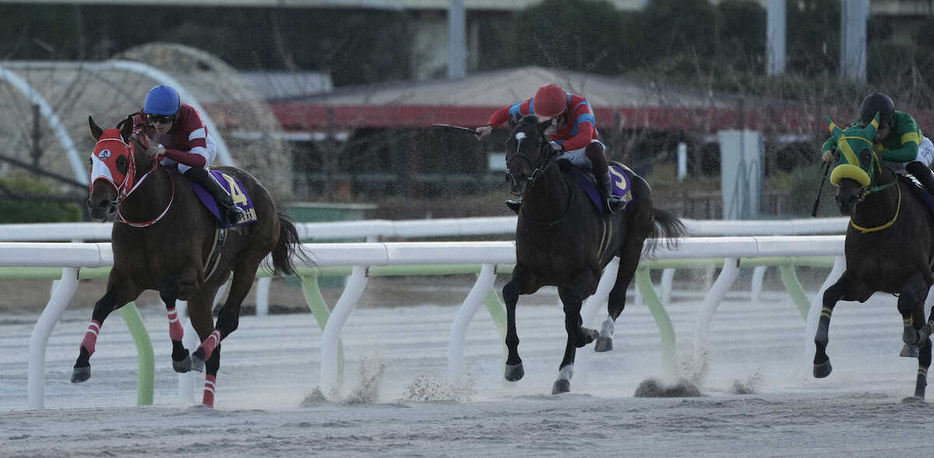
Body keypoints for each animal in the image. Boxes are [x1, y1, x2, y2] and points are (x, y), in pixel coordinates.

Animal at [75, 114, 308, 408]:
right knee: (214, 349)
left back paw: (197, 354)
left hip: (248, 262)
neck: (149, 214)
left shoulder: (189, 277)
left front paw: (180, 354)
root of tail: (265, 193)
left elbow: (166, 293)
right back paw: (205, 398)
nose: (99, 204)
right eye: (92, 160)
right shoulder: (128, 282)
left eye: (121, 161)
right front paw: (81, 362)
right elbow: (101, 306)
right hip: (206, 291)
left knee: (228, 320)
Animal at [504, 114, 688, 394]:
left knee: (616, 297)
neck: (549, 216)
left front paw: (588, 334)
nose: (517, 178)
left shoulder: (588, 275)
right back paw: (563, 374)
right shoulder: (530, 273)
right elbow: (510, 293)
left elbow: (574, 316)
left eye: (536, 142)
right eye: (508, 141)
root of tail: (634, 175)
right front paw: (513, 364)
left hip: (633, 246)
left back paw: (601, 336)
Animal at [820, 114, 934, 400]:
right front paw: (820, 361)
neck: (878, 221)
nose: (846, 198)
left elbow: (904, 302)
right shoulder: (861, 283)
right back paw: (917, 391)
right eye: (837, 153)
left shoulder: (922, 276)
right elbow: (828, 296)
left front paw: (911, 338)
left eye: (865, 154)